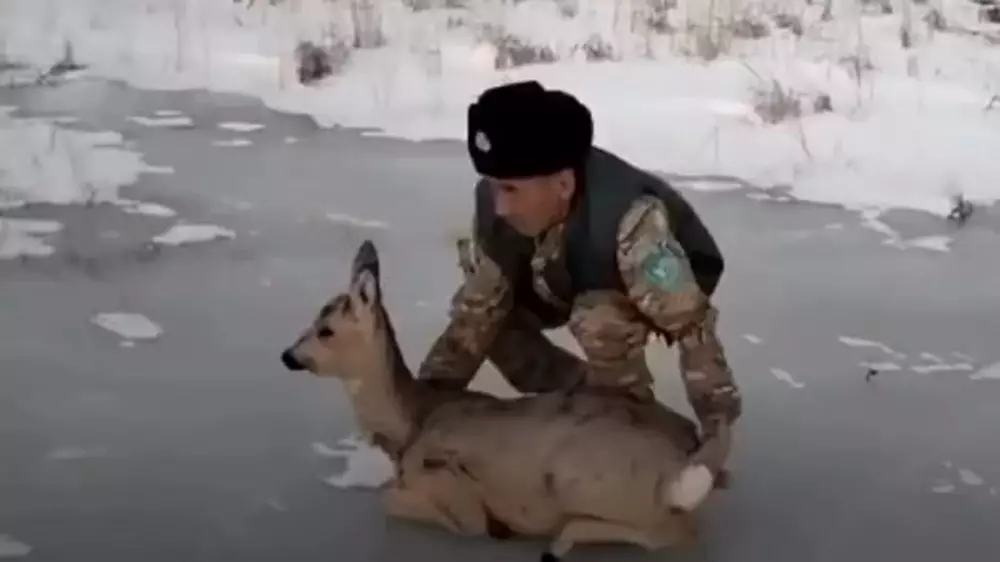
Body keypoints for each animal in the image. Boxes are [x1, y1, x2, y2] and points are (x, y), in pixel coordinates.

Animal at [278, 238, 732, 556]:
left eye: (326, 330)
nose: (287, 356)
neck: (410, 425)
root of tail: (686, 464)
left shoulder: (455, 491)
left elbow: (393, 501)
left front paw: (496, 526)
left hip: (580, 478)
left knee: (675, 533)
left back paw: (562, 537)